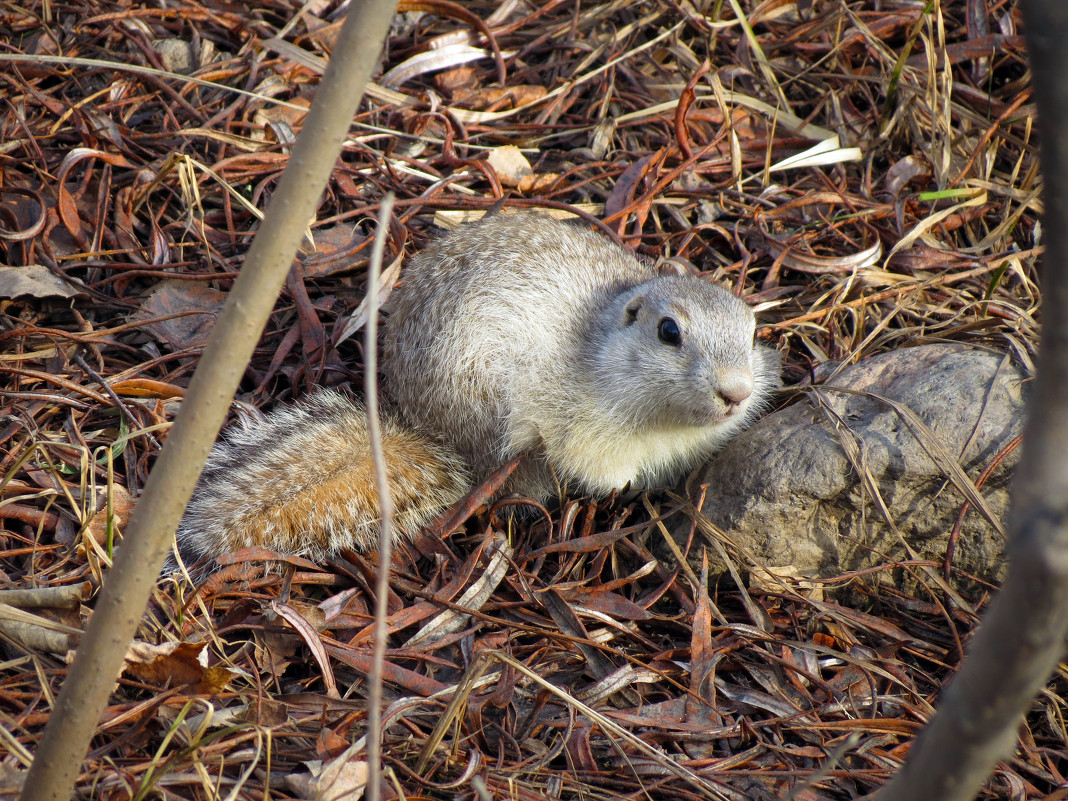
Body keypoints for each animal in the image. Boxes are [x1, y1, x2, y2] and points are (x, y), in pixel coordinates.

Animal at [170, 213, 781, 576]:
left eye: (753, 331)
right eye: (669, 331)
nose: (736, 392)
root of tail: (432, 432)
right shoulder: (579, 430)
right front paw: (621, 488)